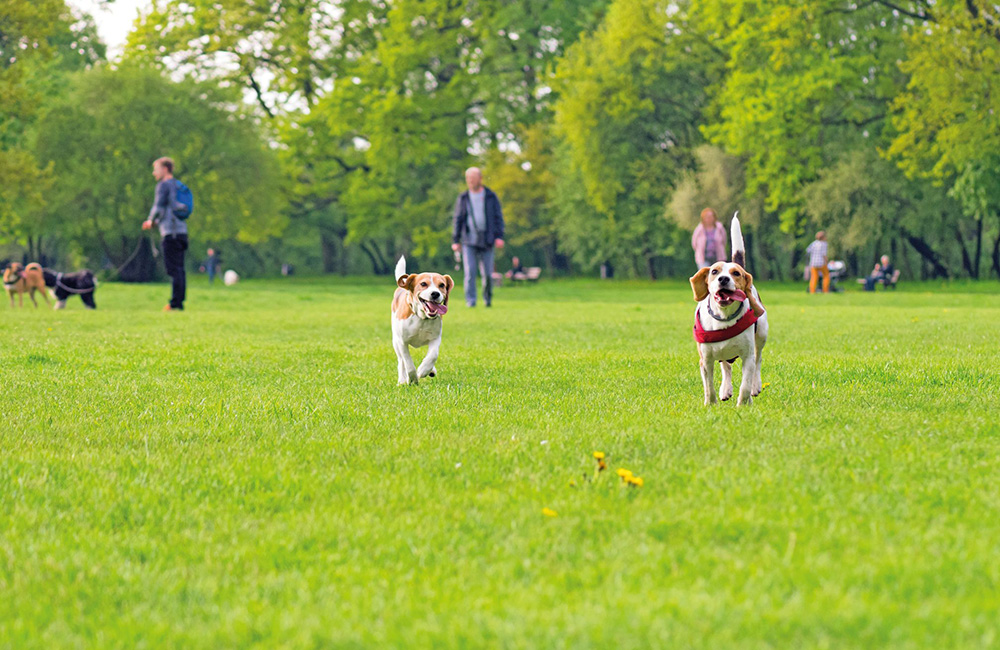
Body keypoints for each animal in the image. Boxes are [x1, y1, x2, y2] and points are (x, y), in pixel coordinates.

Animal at [390, 254, 454, 384]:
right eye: (423, 284)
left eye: (442, 285)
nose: (435, 293)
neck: (422, 318)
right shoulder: (402, 342)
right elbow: (408, 362)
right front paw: (413, 378)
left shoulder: (435, 338)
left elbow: (433, 355)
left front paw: (423, 370)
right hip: (395, 341)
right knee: (401, 361)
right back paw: (402, 380)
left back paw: (431, 370)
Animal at [692, 215, 768, 402]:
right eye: (714, 271)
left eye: (736, 273)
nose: (724, 279)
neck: (724, 316)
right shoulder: (705, 360)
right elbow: (709, 388)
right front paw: (710, 404)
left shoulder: (747, 357)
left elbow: (745, 386)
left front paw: (744, 404)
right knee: (726, 367)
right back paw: (725, 389)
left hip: (762, 335)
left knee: (758, 361)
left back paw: (756, 386)